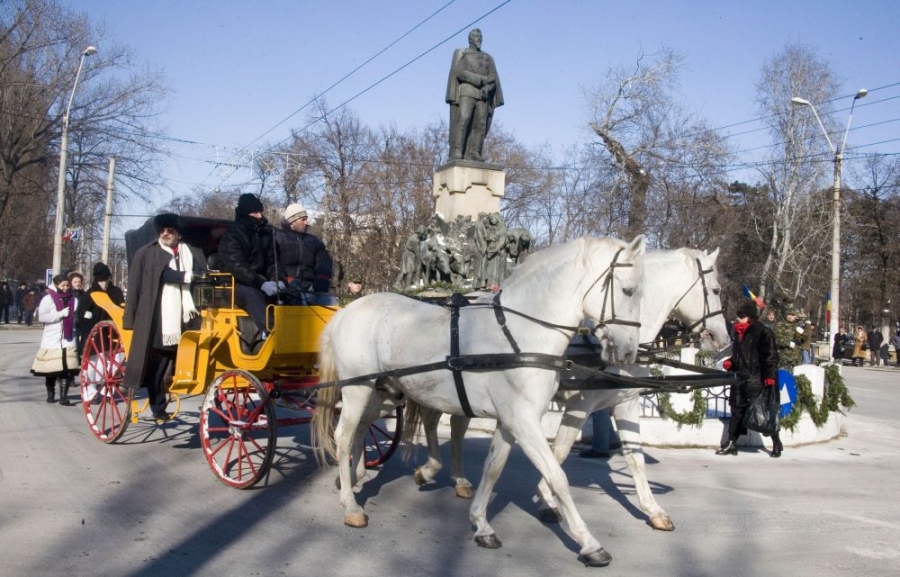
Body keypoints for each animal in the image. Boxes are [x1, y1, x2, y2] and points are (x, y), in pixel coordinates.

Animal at [314, 235, 648, 568]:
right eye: (628, 290)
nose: (629, 352)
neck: (519, 336)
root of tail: (346, 311)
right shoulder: (524, 422)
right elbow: (557, 476)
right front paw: (589, 543)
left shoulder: (509, 422)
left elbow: (493, 469)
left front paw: (481, 524)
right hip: (357, 389)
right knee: (343, 437)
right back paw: (351, 506)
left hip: (384, 393)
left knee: (361, 429)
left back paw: (354, 477)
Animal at [410, 245, 732, 528]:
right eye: (716, 290)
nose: (722, 338)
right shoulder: (581, 405)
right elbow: (560, 452)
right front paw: (546, 499)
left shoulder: (625, 402)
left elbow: (635, 458)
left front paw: (653, 510)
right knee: (436, 419)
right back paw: (433, 470)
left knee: (453, 425)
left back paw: (457, 479)